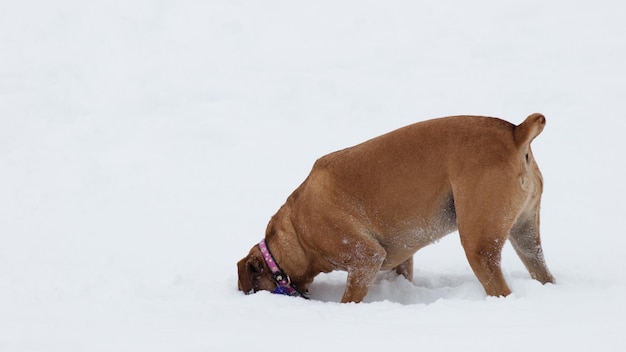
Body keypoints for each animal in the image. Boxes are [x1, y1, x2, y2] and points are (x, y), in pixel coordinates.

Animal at [236, 113, 552, 302]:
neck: (297, 232)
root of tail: (515, 133)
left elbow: (351, 296)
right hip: (525, 236)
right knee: (541, 269)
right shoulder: (399, 260)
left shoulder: (365, 258)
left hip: (479, 243)